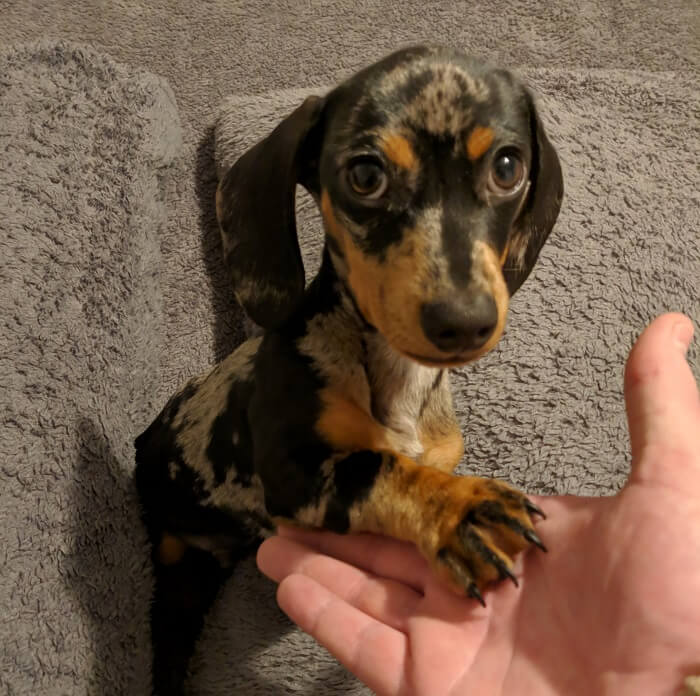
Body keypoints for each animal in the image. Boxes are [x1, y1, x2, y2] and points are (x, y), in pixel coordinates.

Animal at [135, 46, 564, 692]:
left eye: (508, 167)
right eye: (365, 176)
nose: (463, 322)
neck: (394, 376)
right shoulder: (295, 472)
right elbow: (380, 468)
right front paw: (460, 510)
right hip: (177, 577)